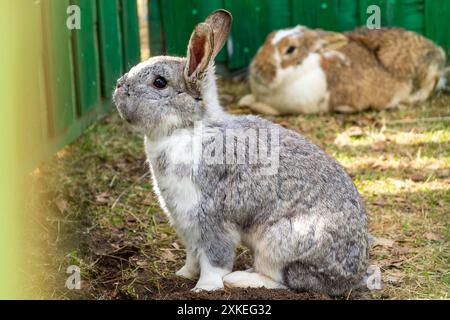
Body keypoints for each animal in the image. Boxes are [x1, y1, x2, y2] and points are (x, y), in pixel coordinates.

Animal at [110, 10, 368, 296]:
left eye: (159, 82)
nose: (119, 86)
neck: (189, 128)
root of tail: (349, 276)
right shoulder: (184, 223)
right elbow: (192, 254)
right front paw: (183, 274)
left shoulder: (210, 217)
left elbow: (214, 259)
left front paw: (204, 288)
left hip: (278, 241)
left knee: (279, 278)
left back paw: (240, 279)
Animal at [239, 26, 446, 115]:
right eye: (268, 38)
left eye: (290, 49)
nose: (257, 69)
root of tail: (438, 51)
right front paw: (244, 100)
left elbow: (266, 109)